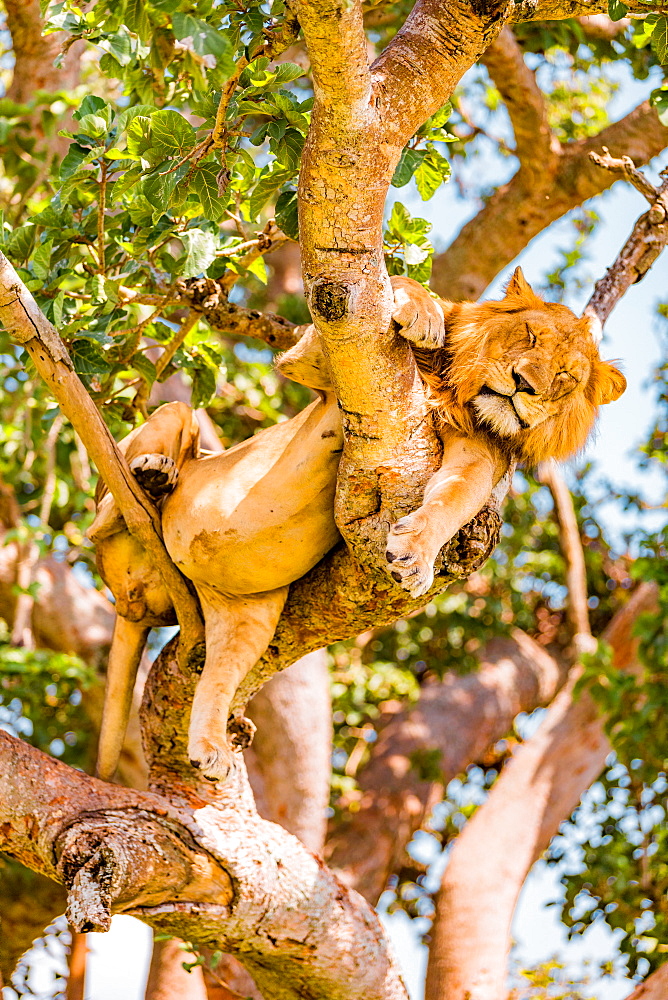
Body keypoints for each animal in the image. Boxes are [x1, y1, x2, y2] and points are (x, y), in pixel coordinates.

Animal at [88, 270, 628, 784]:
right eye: (530, 336)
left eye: (565, 376)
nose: (524, 384)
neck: (460, 393)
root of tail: (134, 605)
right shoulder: (313, 366)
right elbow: (406, 288)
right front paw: (424, 314)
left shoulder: (477, 456)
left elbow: (452, 503)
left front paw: (416, 557)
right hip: (172, 425)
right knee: (105, 513)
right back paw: (152, 477)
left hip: (247, 618)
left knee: (216, 680)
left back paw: (211, 748)